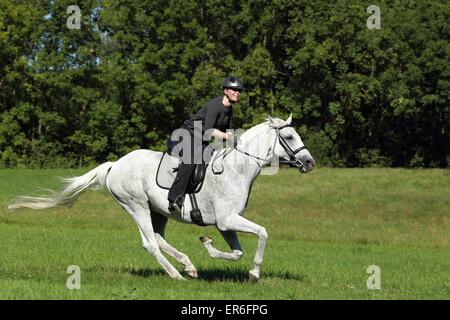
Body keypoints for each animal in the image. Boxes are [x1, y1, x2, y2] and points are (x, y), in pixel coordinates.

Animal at [8, 115, 314, 282]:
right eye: (289, 136)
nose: (310, 163)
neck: (238, 168)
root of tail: (115, 165)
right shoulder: (228, 219)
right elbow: (262, 233)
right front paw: (254, 274)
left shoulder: (225, 224)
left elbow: (236, 252)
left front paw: (208, 246)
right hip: (136, 206)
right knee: (150, 243)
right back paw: (176, 275)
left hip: (159, 210)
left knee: (158, 238)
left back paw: (188, 266)